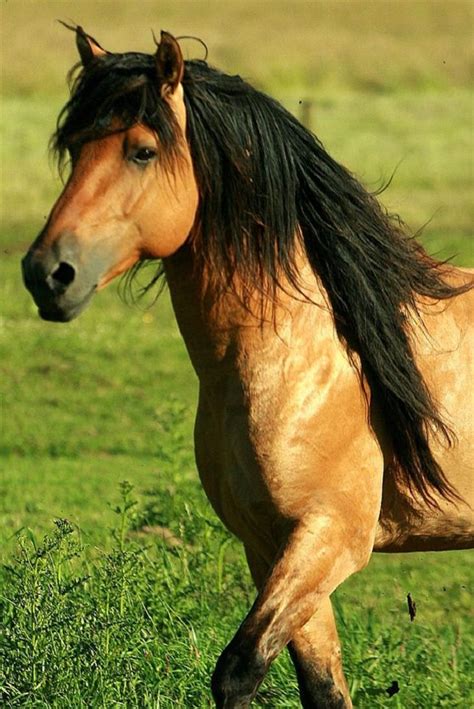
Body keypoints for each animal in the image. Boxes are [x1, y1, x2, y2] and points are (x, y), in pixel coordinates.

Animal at [20, 27, 472, 708]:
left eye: (143, 151)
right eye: (74, 148)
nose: (48, 274)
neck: (303, 358)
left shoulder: (328, 539)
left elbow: (237, 670)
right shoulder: (270, 546)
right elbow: (321, 686)